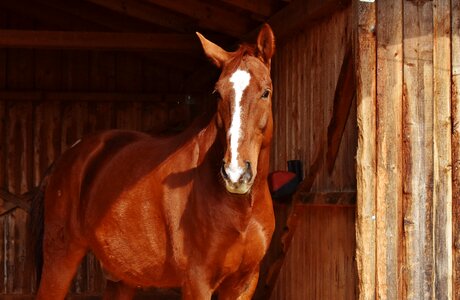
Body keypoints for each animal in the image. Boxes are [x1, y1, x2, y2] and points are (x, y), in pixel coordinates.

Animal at [30, 24, 274, 300]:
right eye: (218, 93)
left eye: (265, 92)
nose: (235, 174)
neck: (240, 209)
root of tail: (67, 157)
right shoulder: (197, 282)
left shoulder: (244, 283)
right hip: (60, 260)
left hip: (120, 278)